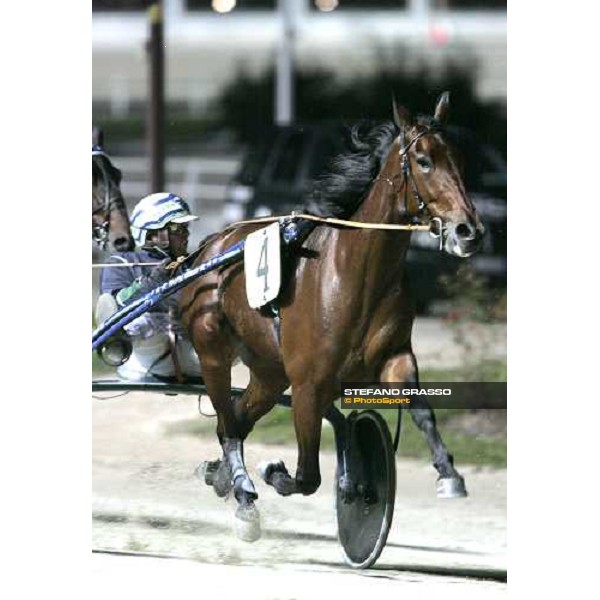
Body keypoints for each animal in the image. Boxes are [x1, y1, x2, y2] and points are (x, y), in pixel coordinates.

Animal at [180, 94, 486, 540]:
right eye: (424, 160)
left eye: (460, 160)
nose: (469, 230)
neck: (356, 273)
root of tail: (210, 246)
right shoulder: (309, 382)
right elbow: (307, 476)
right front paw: (274, 472)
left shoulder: (395, 358)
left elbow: (421, 410)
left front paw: (448, 473)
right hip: (214, 353)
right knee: (229, 423)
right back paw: (243, 491)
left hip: (269, 371)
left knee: (234, 421)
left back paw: (224, 477)